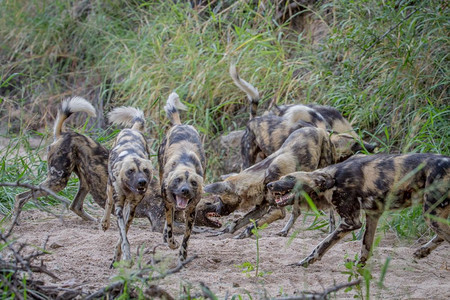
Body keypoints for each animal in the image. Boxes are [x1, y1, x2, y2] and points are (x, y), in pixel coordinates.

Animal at [100, 105, 153, 264]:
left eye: (145, 170)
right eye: (130, 171)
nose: (142, 182)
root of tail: (132, 130)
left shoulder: (132, 208)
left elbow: (123, 236)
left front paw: (118, 256)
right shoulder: (119, 206)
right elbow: (124, 237)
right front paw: (126, 255)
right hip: (110, 188)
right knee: (108, 202)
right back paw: (105, 222)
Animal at [159, 92, 207, 262]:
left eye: (193, 183)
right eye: (178, 180)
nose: (185, 191)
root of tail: (180, 125)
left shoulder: (191, 210)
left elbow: (187, 236)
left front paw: (183, 254)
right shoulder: (168, 202)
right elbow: (171, 228)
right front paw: (172, 243)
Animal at [205, 125, 372, 238]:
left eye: (220, 199)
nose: (216, 210)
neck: (262, 176)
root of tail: (318, 128)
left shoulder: (277, 209)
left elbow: (250, 226)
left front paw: (242, 235)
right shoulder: (262, 207)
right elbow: (239, 222)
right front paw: (226, 231)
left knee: (329, 211)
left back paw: (330, 230)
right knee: (297, 212)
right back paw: (285, 231)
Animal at [268, 154, 450, 266]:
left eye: (290, 178)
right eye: (282, 177)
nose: (269, 184)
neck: (331, 181)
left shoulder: (350, 222)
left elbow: (320, 246)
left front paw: (304, 262)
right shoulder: (372, 215)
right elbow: (365, 247)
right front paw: (359, 265)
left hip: (431, 215)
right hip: (435, 215)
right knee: (441, 236)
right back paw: (422, 251)